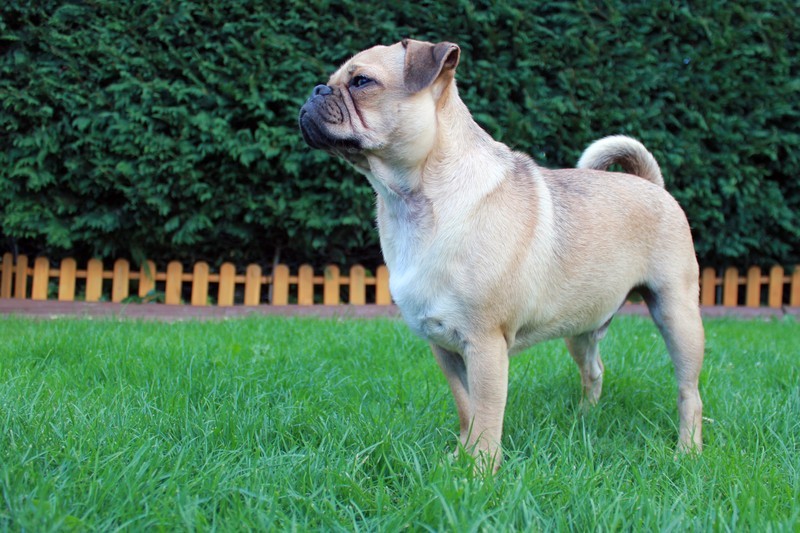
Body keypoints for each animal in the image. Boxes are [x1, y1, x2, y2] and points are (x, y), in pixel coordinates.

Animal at [296, 38, 704, 470]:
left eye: (361, 82)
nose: (316, 91)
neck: (409, 202)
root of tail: (653, 185)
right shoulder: (444, 347)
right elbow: (466, 408)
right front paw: (459, 455)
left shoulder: (485, 346)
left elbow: (488, 415)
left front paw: (480, 470)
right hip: (580, 328)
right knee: (594, 370)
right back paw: (584, 418)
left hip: (677, 315)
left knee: (689, 392)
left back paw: (688, 450)